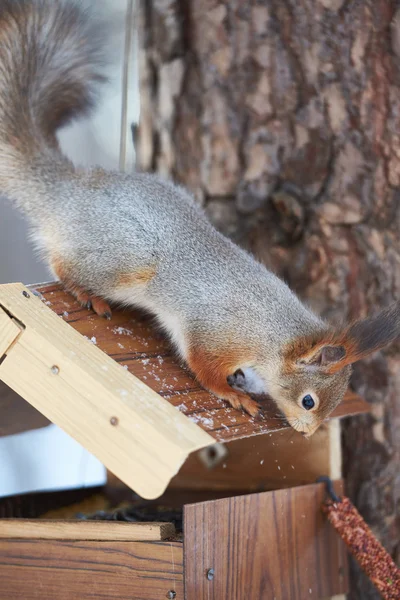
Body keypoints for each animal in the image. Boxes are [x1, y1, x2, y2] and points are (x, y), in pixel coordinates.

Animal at [0, 0, 398, 434]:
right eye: (308, 400)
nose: (307, 433)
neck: (270, 332)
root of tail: (71, 190)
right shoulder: (216, 332)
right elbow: (202, 365)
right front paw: (233, 394)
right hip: (125, 257)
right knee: (62, 263)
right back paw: (87, 293)